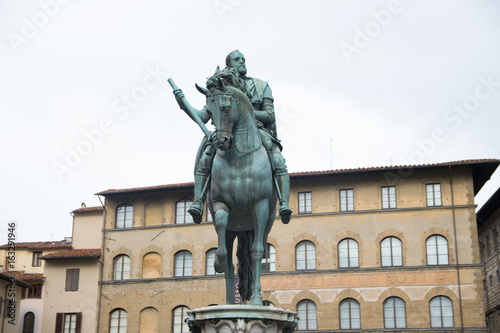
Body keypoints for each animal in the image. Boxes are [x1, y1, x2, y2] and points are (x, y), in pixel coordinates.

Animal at [196, 72, 278, 304]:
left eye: (225, 107)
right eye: (208, 110)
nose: (221, 141)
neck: (239, 158)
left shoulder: (260, 207)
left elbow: (257, 252)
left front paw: (257, 299)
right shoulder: (220, 204)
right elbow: (222, 227)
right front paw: (217, 262)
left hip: (266, 222)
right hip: (235, 228)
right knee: (230, 264)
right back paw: (228, 302)